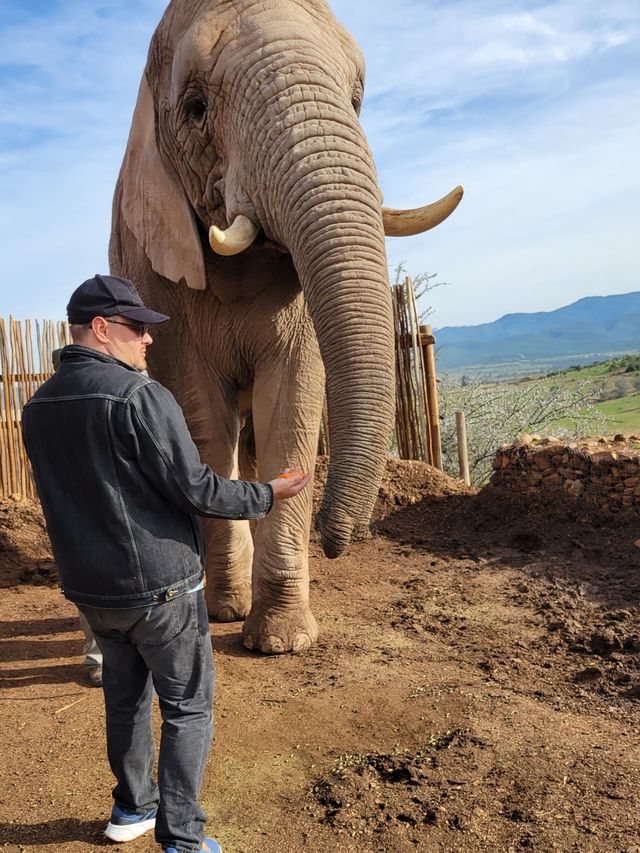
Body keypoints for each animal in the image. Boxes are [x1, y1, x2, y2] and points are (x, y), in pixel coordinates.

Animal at [109, 0, 460, 656]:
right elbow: (205, 420)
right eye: (195, 107)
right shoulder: (155, 274)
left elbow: (290, 402)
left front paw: (280, 640)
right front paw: (226, 612)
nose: (341, 538)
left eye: (358, 98)